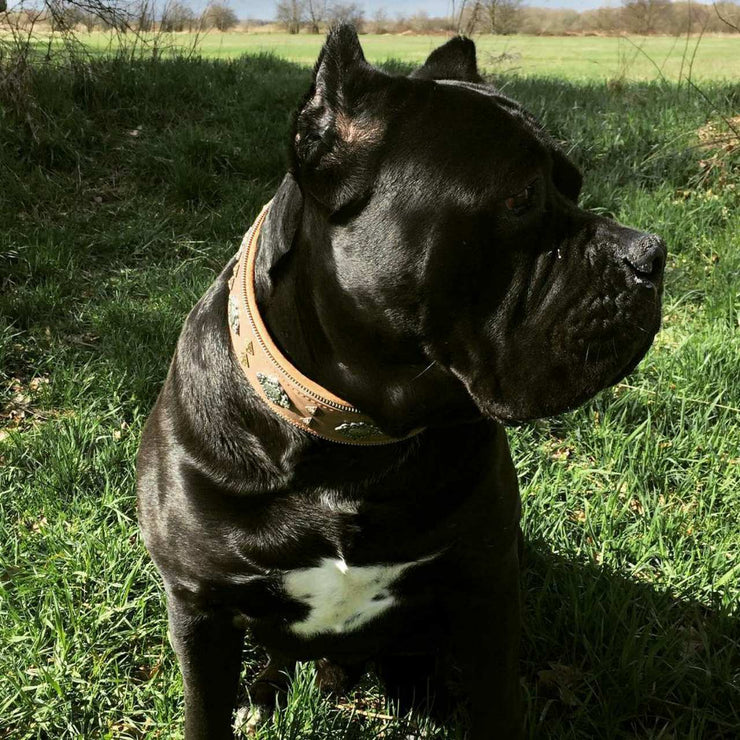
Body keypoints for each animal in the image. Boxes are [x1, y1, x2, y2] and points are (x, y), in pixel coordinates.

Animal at [137, 26, 664, 736]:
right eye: (522, 197)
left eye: (573, 186)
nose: (652, 255)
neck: (355, 442)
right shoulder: (200, 611)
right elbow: (205, 711)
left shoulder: (488, 583)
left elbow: (498, 702)